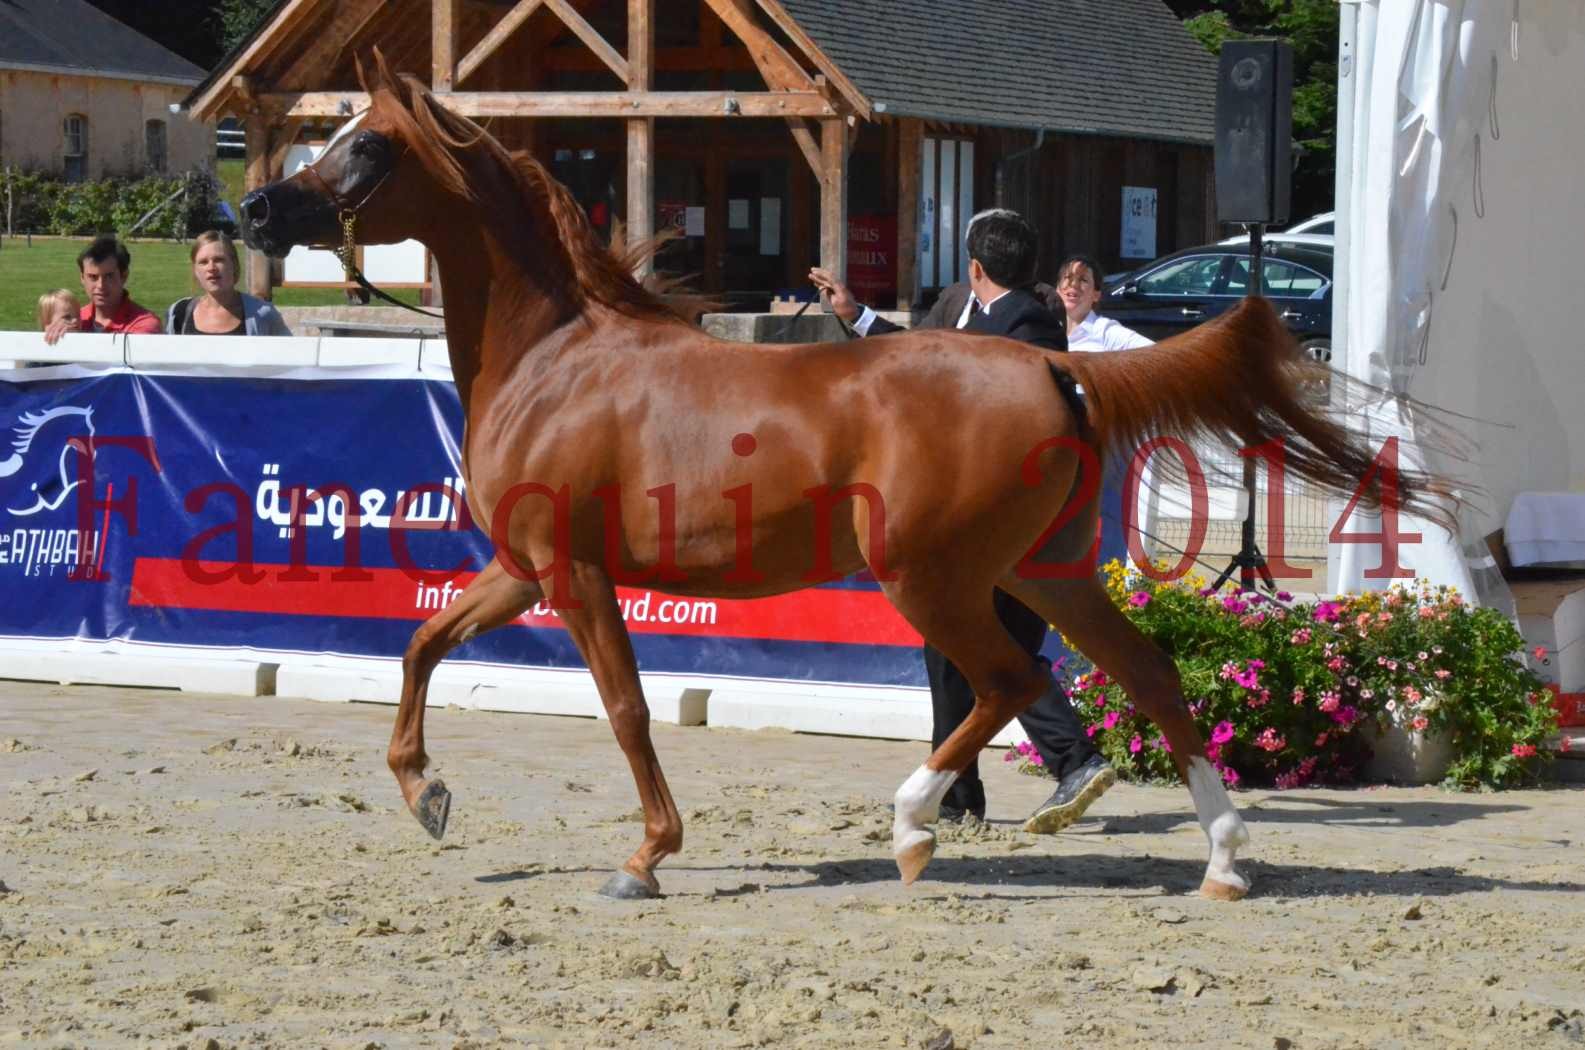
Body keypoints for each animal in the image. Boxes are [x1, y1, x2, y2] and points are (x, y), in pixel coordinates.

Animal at [240, 61, 1445, 907]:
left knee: (1007, 681)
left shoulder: (574, 575)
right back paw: (1225, 860)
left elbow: (626, 709)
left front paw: (645, 855)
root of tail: (1053, 364)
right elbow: (420, 644)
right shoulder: (523, 568)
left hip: (933, 578)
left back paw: (914, 827)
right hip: (1044, 570)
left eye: (365, 148)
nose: (254, 215)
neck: (556, 357)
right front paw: (426, 795)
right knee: (1143, 674)